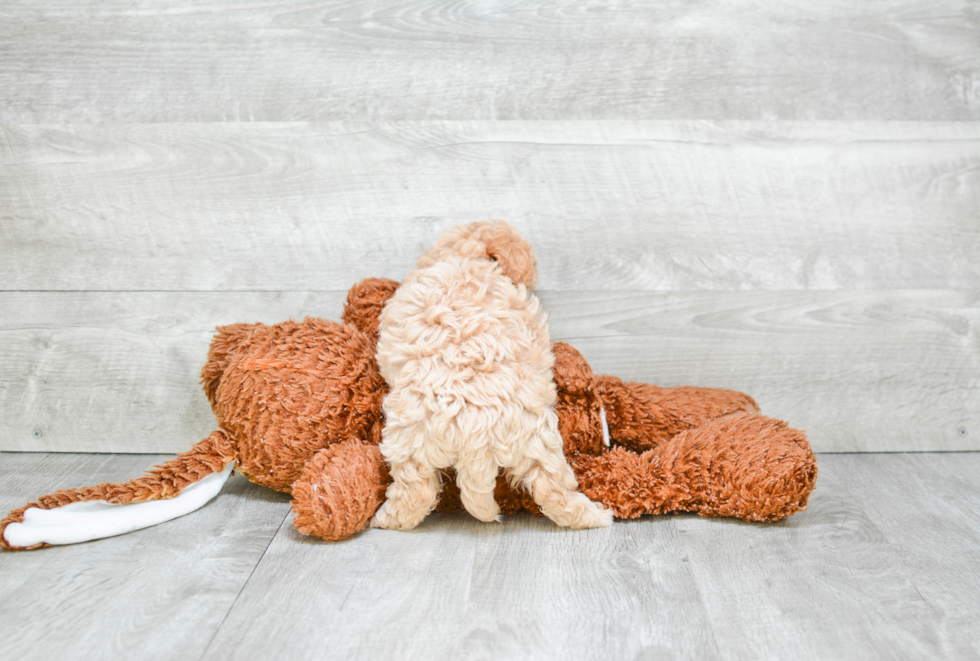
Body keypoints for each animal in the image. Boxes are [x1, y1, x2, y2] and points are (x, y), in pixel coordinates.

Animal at [372, 222, 608, 532]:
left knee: (415, 492)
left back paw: (387, 519)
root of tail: (476, 433)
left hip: (410, 442)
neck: (468, 255)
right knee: (554, 488)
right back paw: (595, 516)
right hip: (537, 439)